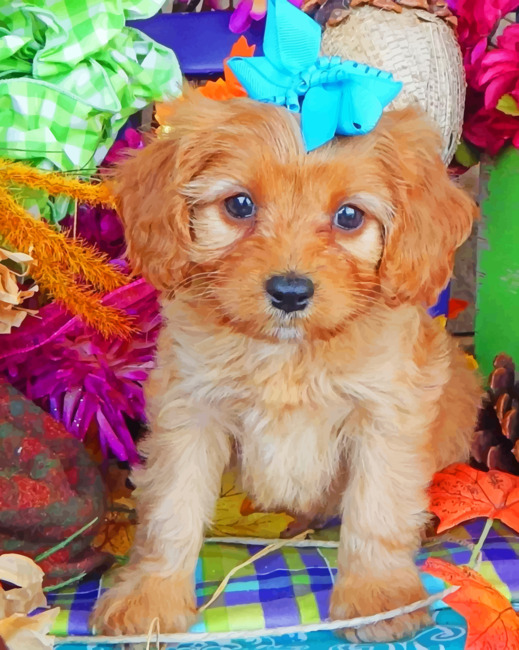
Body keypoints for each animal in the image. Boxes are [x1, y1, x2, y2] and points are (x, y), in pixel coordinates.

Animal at [92, 92, 480, 644]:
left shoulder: (386, 415)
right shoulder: (189, 410)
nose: (290, 292)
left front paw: (379, 599)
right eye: (239, 205)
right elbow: (171, 506)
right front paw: (151, 598)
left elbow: (377, 507)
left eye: (349, 216)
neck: (288, 353)